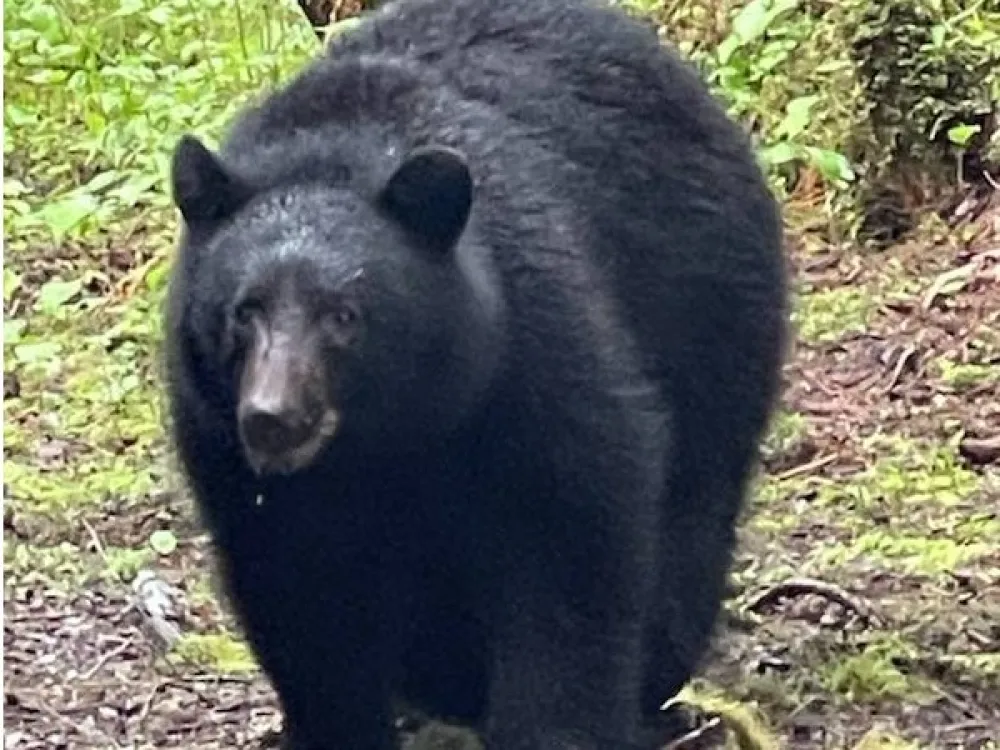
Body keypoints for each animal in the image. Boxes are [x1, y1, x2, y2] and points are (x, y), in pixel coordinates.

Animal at [162, 0, 788, 748]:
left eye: (344, 315)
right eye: (244, 311)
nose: (272, 418)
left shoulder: (531, 350)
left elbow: (570, 546)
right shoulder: (222, 446)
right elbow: (299, 597)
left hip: (712, 320)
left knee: (694, 508)